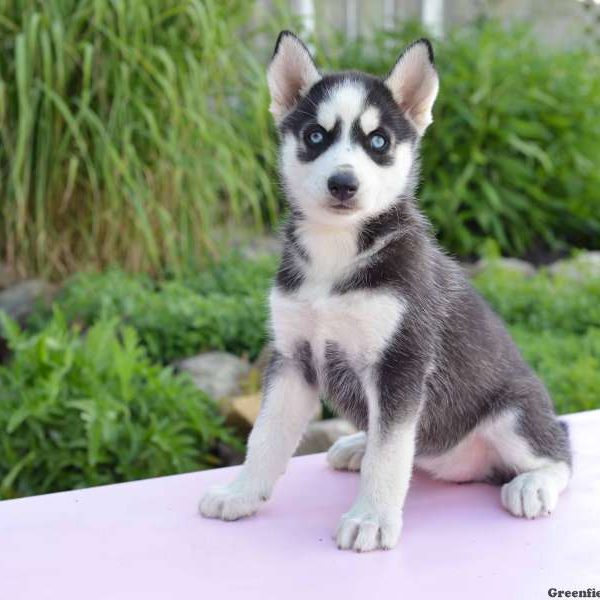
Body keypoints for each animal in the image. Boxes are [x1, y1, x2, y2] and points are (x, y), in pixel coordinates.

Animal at [200, 30, 572, 552]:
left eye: (378, 142)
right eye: (315, 136)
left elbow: (390, 454)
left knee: (559, 452)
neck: (336, 255)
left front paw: (371, 518)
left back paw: (533, 484)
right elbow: (266, 437)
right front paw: (241, 493)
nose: (343, 183)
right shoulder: (291, 358)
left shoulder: (401, 364)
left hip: (515, 413)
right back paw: (358, 444)